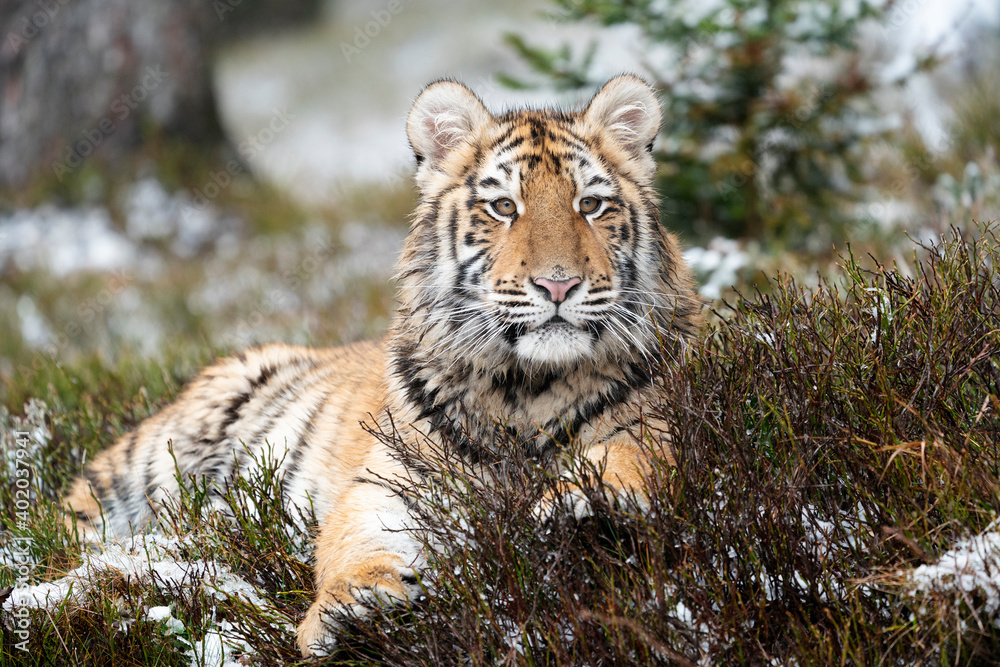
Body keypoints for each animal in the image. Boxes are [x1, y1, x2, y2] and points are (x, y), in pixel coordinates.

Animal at [63, 74, 701, 656]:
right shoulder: (388, 481)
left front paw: (581, 508)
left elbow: (628, 461)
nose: (559, 284)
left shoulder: (653, 426)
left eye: (590, 204)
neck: (525, 388)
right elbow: (358, 542)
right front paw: (355, 605)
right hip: (151, 464)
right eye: (503, 207)